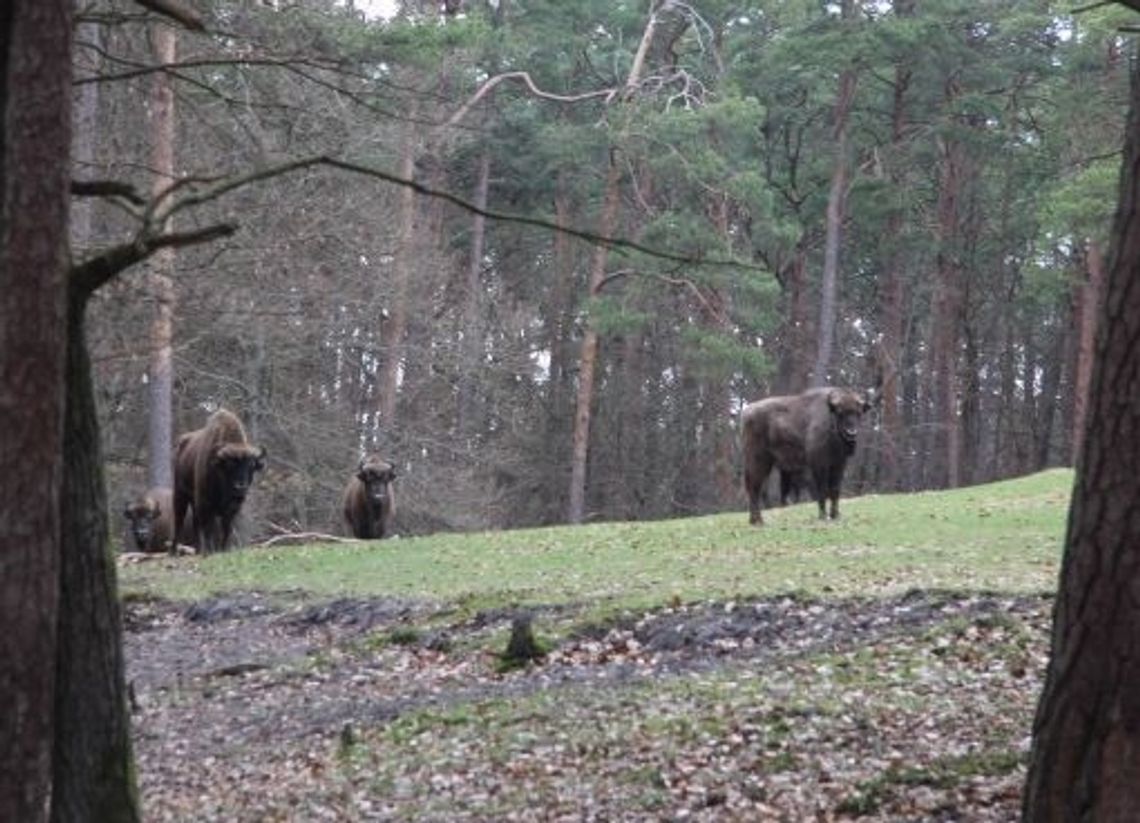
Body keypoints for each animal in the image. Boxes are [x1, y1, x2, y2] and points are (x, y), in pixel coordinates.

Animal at [172, 408, 265, 553]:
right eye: (230, 465)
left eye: (251, 465)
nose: (240, 487)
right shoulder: (206, 504)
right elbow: (208, 529)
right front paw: (210, 551)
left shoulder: (232, 509)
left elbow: (226, 529)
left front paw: (224, 549)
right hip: (180, 494)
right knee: (179, 520)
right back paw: (174, 551)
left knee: (195, 523)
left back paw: (198, 550)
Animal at [738, 385, 870, 526]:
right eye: (840, 413)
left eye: (858, 413)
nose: (851, 432)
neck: (830, 418)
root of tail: (746, 413)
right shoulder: (819, 464)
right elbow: (822, 490)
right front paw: (823, 516)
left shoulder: (839, 464)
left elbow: (835, 490)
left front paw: (835, 515)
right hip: (758, 461)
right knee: (754, 487)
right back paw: (757, 521)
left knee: (756, 488)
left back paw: (756, 520)